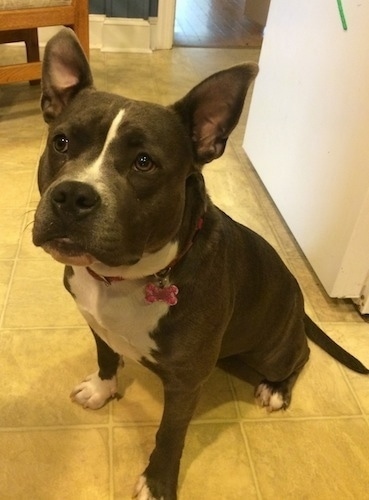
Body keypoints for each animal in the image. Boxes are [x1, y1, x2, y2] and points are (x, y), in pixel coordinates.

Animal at [33, 29, 366, 498]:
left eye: (144, 163)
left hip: (277, 350)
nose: (73, 195)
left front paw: (157, 483)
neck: (127, 279)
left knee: (299, 356)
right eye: (61, 142)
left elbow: (170, 435)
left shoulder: (185, 383)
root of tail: (300, 306)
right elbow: (107, 356)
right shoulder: (96, 324)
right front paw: (101, 389)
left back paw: (276, 389)